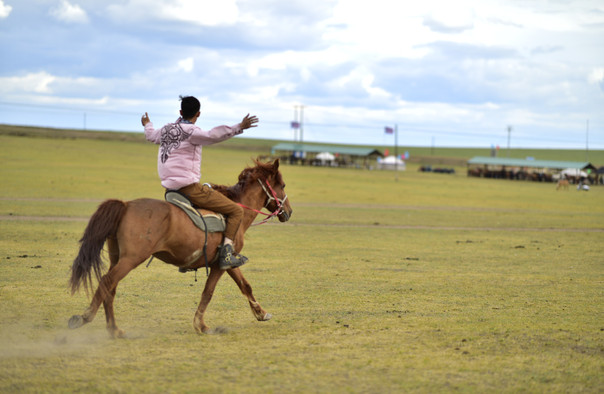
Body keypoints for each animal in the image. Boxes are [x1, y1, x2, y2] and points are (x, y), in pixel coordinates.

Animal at [68, 159, 292, 338]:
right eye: (282, 185)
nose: (288, 211)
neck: (237, 213)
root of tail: (125, 205)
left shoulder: (228, 262)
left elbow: (245, 286)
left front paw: (261, 313)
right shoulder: (220, 266)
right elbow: (208, 292)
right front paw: (201, 326)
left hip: (118, 258)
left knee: (110, 289)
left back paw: (114, 329)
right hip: (131, 259)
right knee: (107, 282)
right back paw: (85, 317)